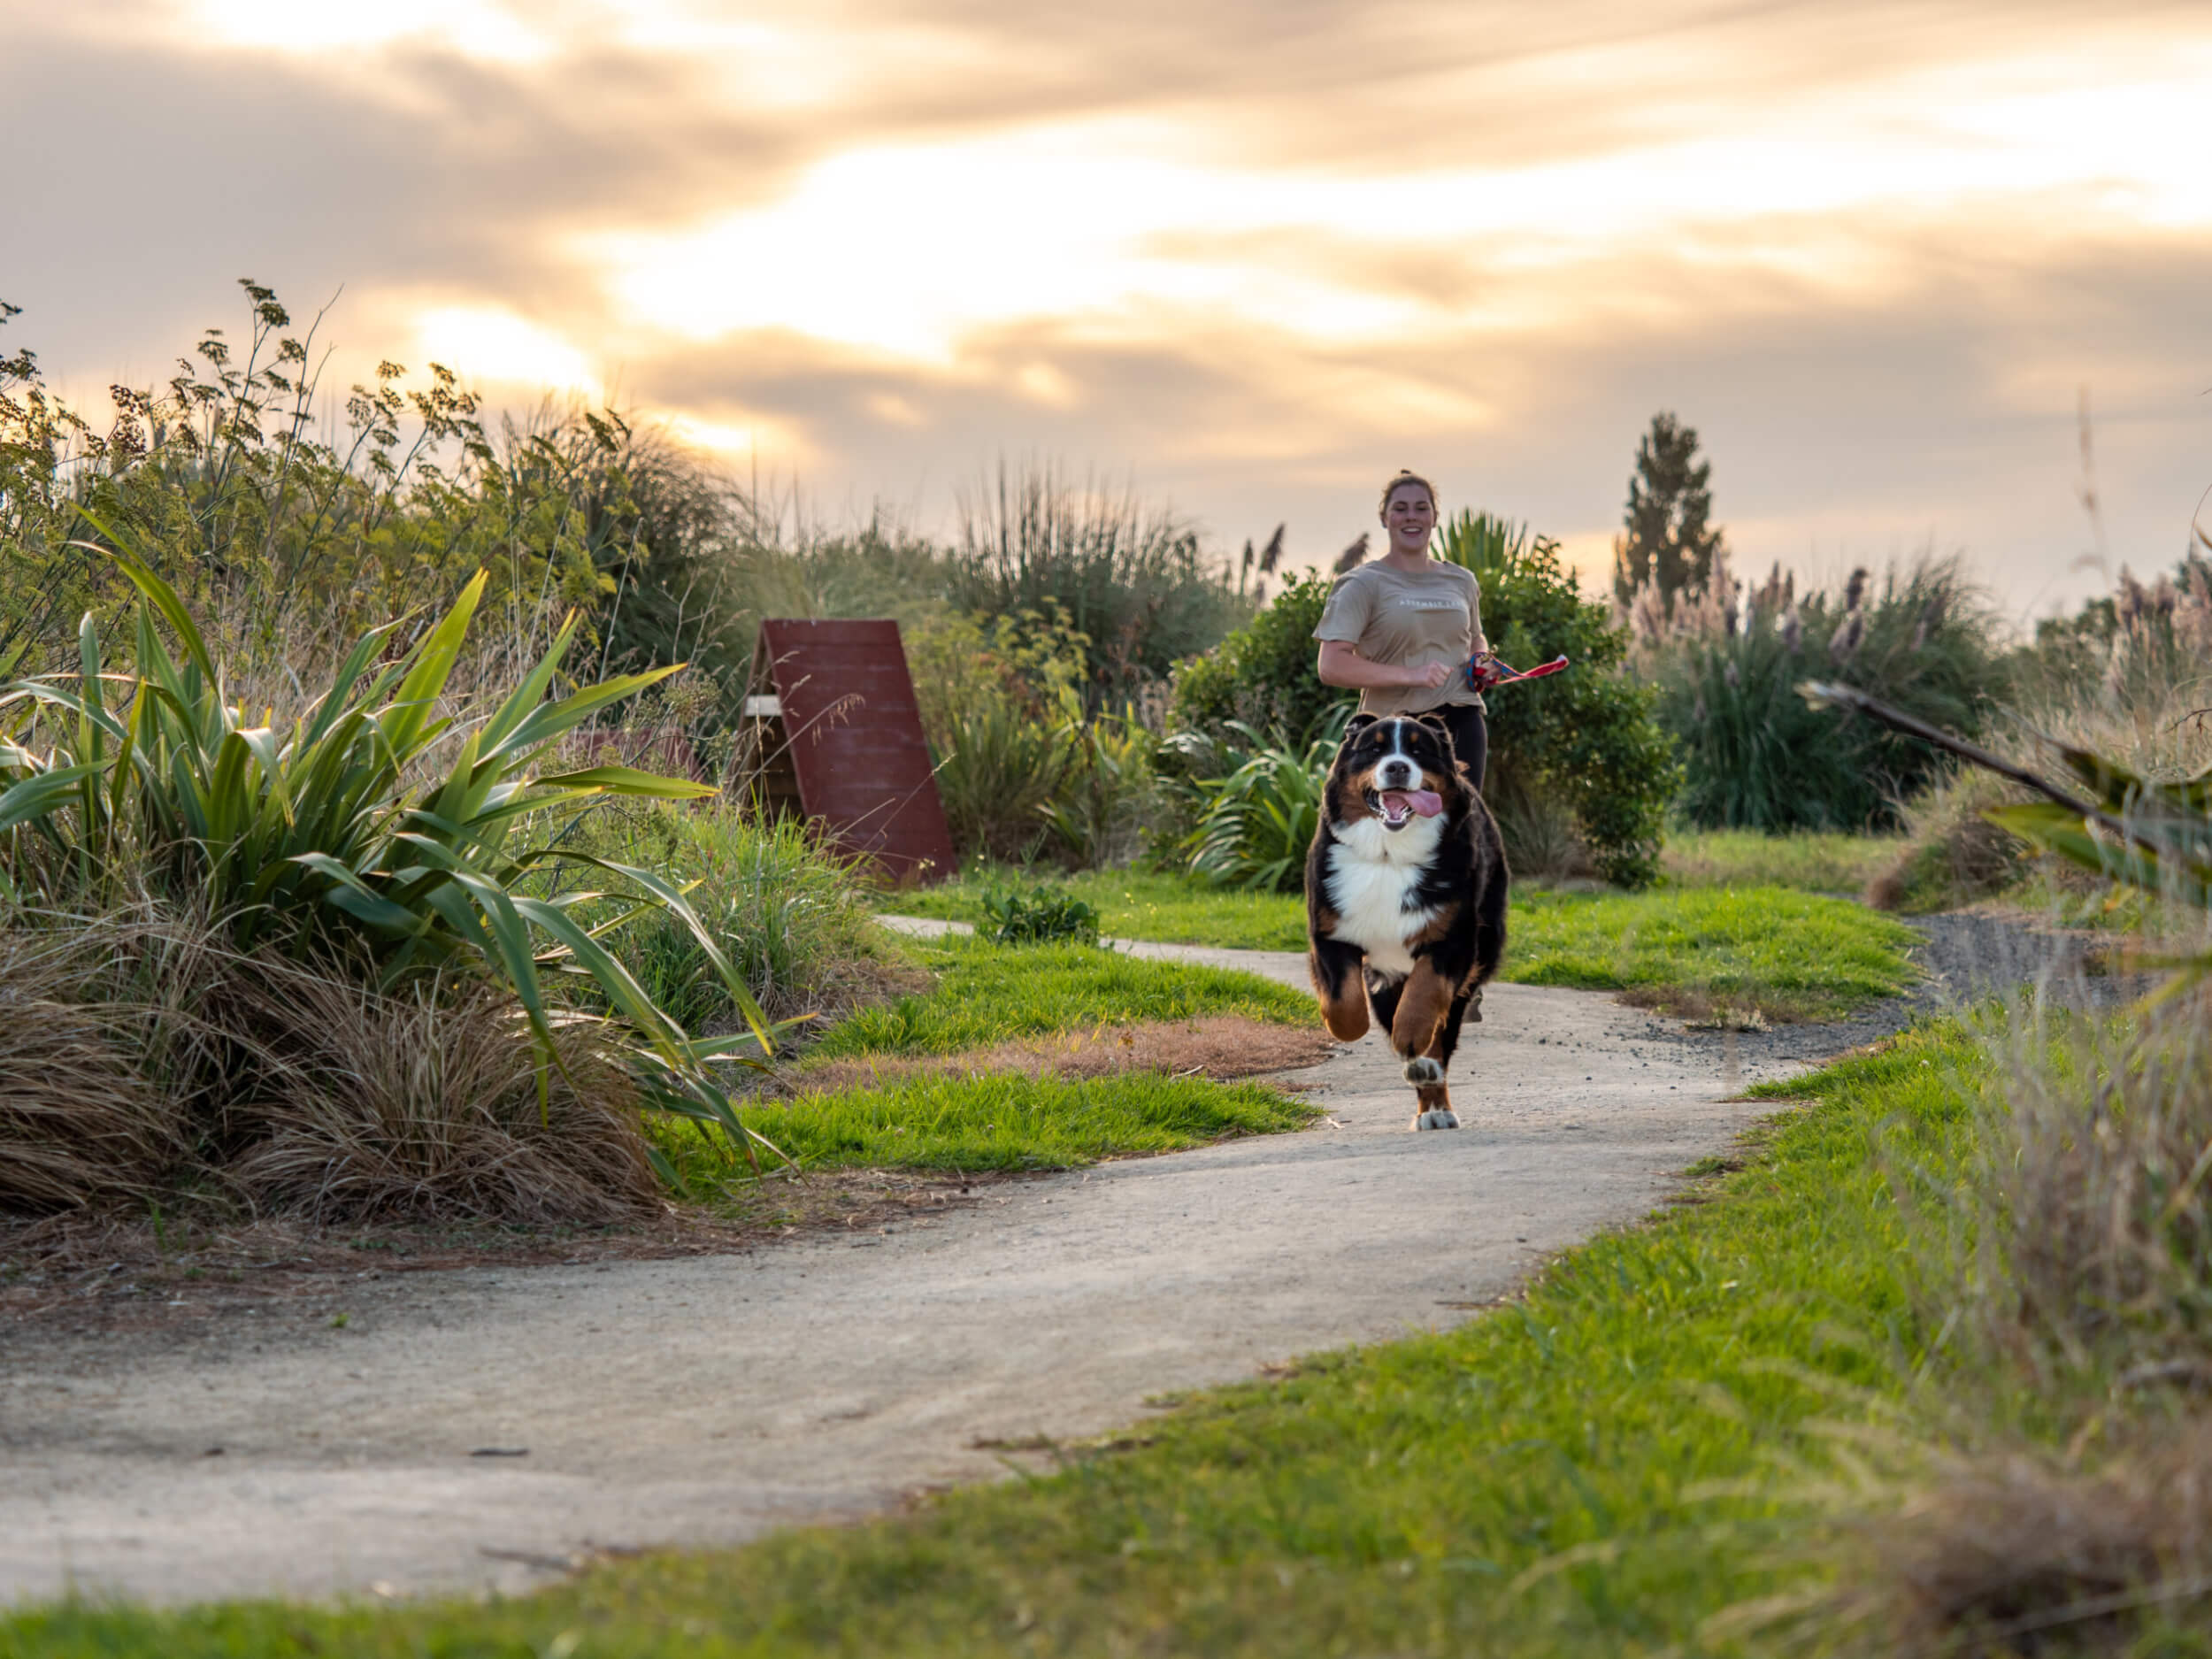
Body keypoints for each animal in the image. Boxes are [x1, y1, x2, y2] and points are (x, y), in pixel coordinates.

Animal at [1301, 717, 1513, 1133]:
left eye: (1418, 750)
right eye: (1375, 748)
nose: (1398, 767)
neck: (1388, 856)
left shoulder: (1453, 939)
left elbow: (1423, 998)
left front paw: (1413, 1040)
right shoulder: (1331, 933)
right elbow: (1344, 1003)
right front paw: (1349, 1026)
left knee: (1441, 1033)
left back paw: (1432, 1092)